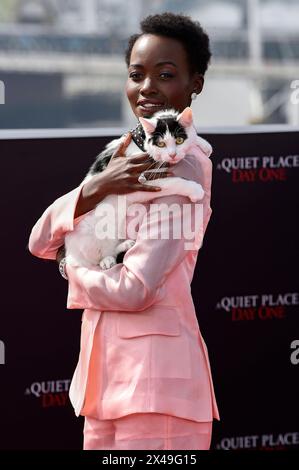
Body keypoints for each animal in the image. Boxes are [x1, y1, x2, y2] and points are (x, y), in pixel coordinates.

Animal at [64, 106, 212, 268]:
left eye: (179, 140)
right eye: (161, 144)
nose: (172, 155)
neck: (141, 144)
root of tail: (70, 253)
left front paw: (203, 143)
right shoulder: (140, 182)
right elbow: (174, 182)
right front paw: (195, 189)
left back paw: (125, 245)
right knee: (98, 257)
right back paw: (107, 260)